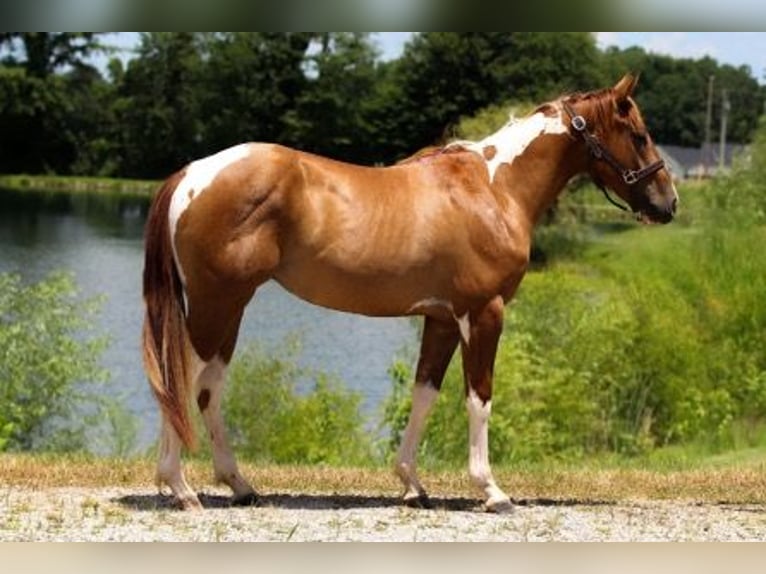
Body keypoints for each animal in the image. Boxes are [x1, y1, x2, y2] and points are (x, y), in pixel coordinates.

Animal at [142, 73, 677, 512]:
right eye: (639, 135)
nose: (668, 203)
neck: (495, 188)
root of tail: (191, 174)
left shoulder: (441, 318)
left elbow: (425, 394)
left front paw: (412, 484)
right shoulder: (482, 314)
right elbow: (479, 397)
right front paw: (492, 490)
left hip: (228, 309)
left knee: (207, 388)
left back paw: (238, 485)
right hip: (213, 306)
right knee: (180, 381)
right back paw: (182, 488)